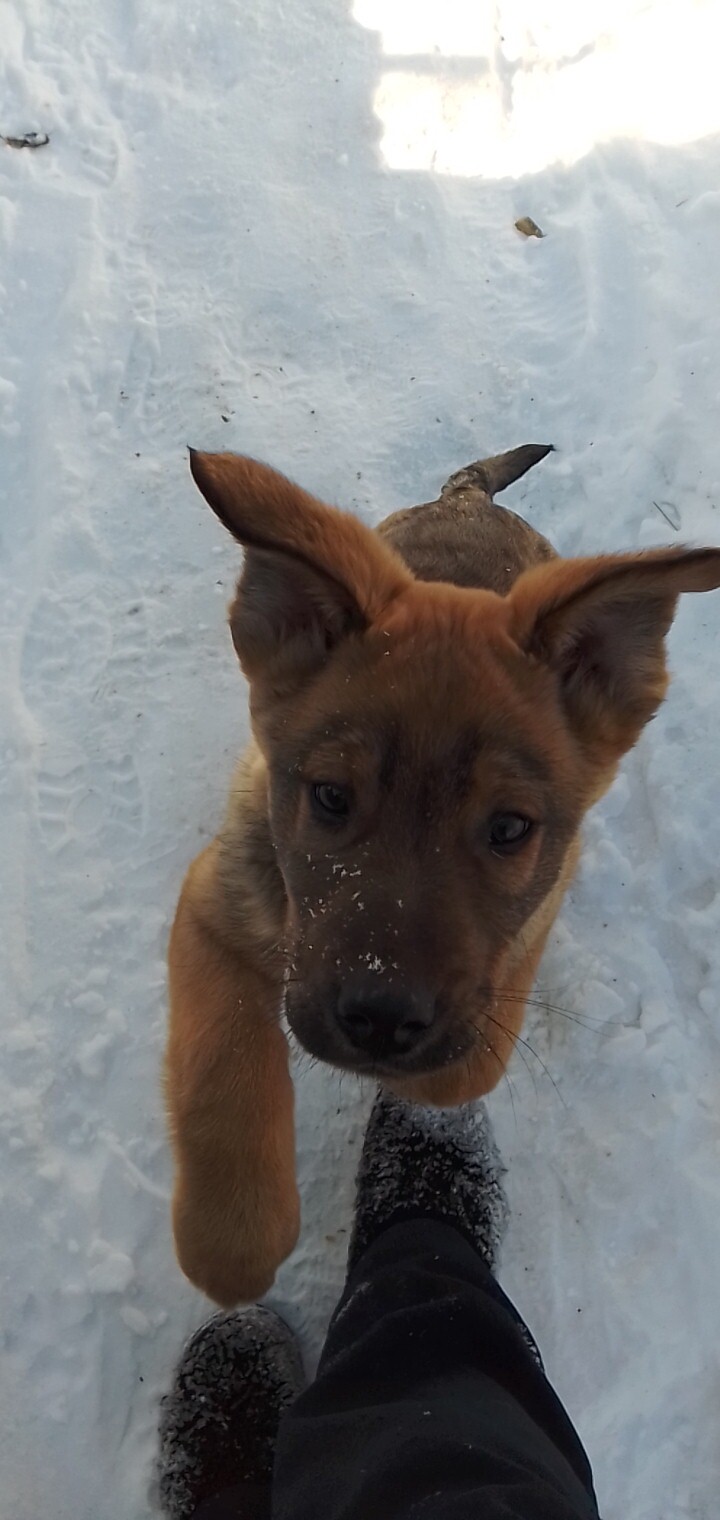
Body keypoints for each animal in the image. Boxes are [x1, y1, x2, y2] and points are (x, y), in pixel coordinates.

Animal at [165, 443, 720, 1307]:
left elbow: (461, 1073)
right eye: (330, 797)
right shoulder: (216, 904)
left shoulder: (528, 927)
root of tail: (468, 498)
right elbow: (221, 1074)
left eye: (509, 829)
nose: (381, 1019)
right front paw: (232, 1243)